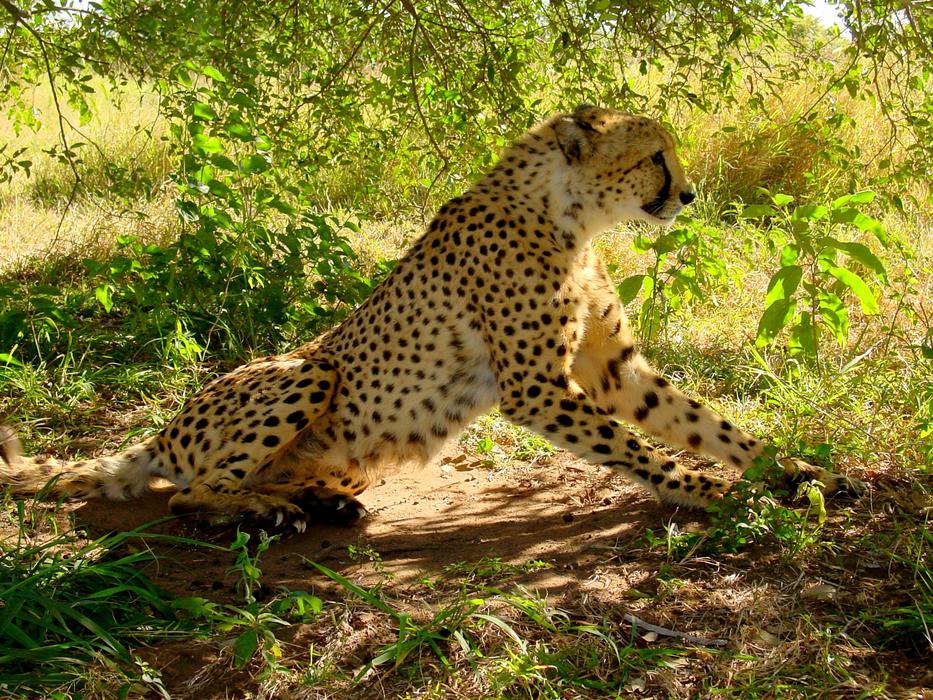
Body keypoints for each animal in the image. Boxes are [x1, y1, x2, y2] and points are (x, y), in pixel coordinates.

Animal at [0, 105, 866, 532]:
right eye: (654, 155)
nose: (687, 194)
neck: (568, 217)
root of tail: (160, 434)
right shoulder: (536, 388)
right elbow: (640, 448)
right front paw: (706, 490)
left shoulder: (612, 370)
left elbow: (704, 421)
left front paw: (795, 471)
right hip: (306, 369)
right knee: (191, 495)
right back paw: (261, 513)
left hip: (346, 446)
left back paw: (319, 503)